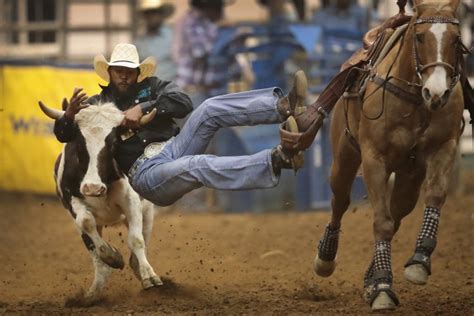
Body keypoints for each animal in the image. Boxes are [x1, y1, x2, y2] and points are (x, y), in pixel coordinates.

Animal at [312, 0, 464, 312]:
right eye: (419, 37)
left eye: (456, 40)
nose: (437, 93)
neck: (416, 100)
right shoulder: (374, 159)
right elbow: (380, 222)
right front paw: (382, 288)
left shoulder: (444, 147)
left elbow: (433, 198)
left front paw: (417, 262)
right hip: (344, 158)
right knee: (340, 201)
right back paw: (326, 259)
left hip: (409, 177)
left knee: (397, 214)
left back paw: (370, 279)